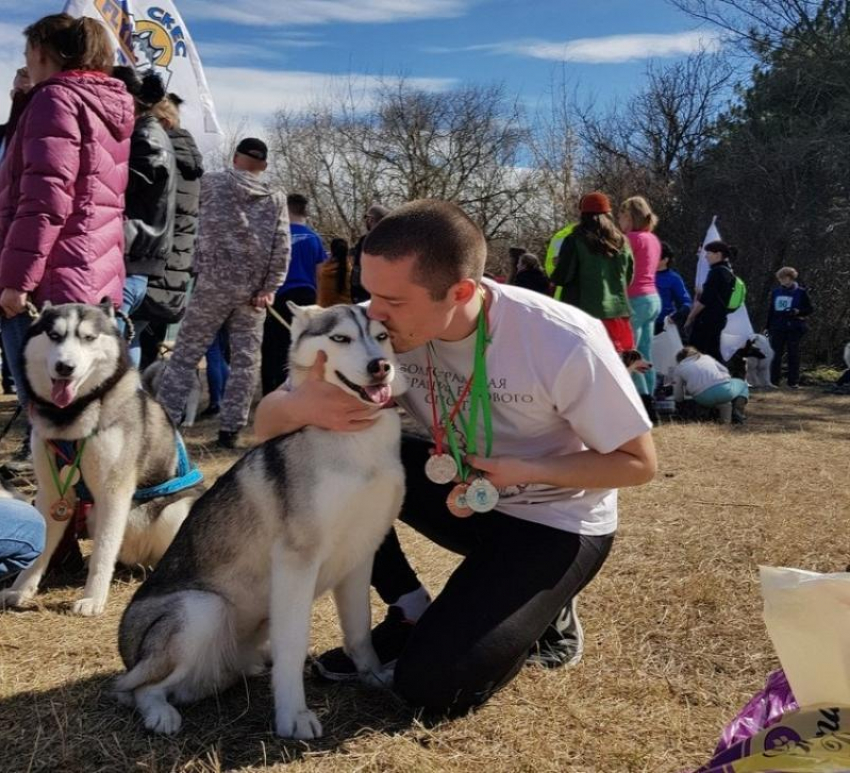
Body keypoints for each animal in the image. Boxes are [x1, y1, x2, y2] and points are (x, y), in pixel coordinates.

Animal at [0, 302, 204, 616]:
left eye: (88, 338)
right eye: (54, 335)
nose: (65, 367)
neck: (71, 417)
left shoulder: (113, 492)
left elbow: (103, 552)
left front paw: (93, 599)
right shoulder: (51, 493)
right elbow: (41, 544)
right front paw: (20, 589)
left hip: (177, 510)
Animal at [115, 302, 404, 736]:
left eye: (381, 336)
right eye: (341, 338)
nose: (379, 366)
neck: (356, 445)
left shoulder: (360, 555)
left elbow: (359, 632)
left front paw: (374, 678)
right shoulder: (296, 563)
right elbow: (294, 646)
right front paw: (293, 717)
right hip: (202, 609)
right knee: (139, 689)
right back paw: (160, 714)